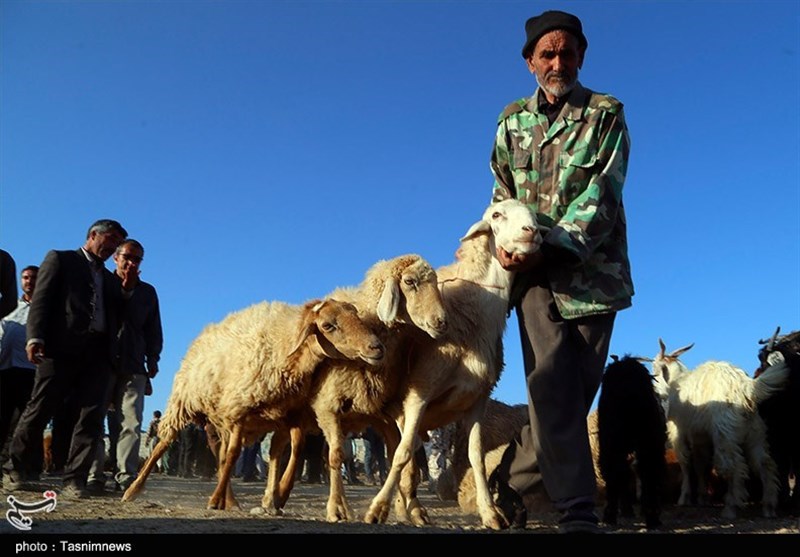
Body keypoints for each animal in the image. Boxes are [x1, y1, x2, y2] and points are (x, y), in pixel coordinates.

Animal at [122, 298, 388, 510]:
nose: (376, 347)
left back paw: (231, 500)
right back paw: (133, 490)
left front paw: (278, 495)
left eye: (356, 317)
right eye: (328, 326)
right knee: (165, 443)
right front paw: (216, 500)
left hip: (219, 419)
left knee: (218, 453)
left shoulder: (286, 415)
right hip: (185, 402)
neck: (285, 348)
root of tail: (203, 335)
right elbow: (234, 455)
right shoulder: (240, 410)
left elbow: (288, 451)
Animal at [364, 198, 544, 528]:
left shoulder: (476, 400)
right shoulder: (419, 392)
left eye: (535, 215)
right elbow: (403, 455)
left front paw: (490, 513)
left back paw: (409, 508)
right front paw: (376, 509)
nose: (532, 232)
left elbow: (476, 458)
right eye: (497, 215)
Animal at [652, 338, 792, 516]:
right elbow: (700, 463)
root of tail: (745, 387)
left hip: (725, 432)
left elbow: (686, 463)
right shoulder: (700, 435)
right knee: (765, 463)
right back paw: (769, 507)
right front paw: (702, 499)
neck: (676, 381)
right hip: (755, 431)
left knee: (733, 465)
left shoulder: (678, 432)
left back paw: (731, 507)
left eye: (655, 366)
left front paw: (685, 498)